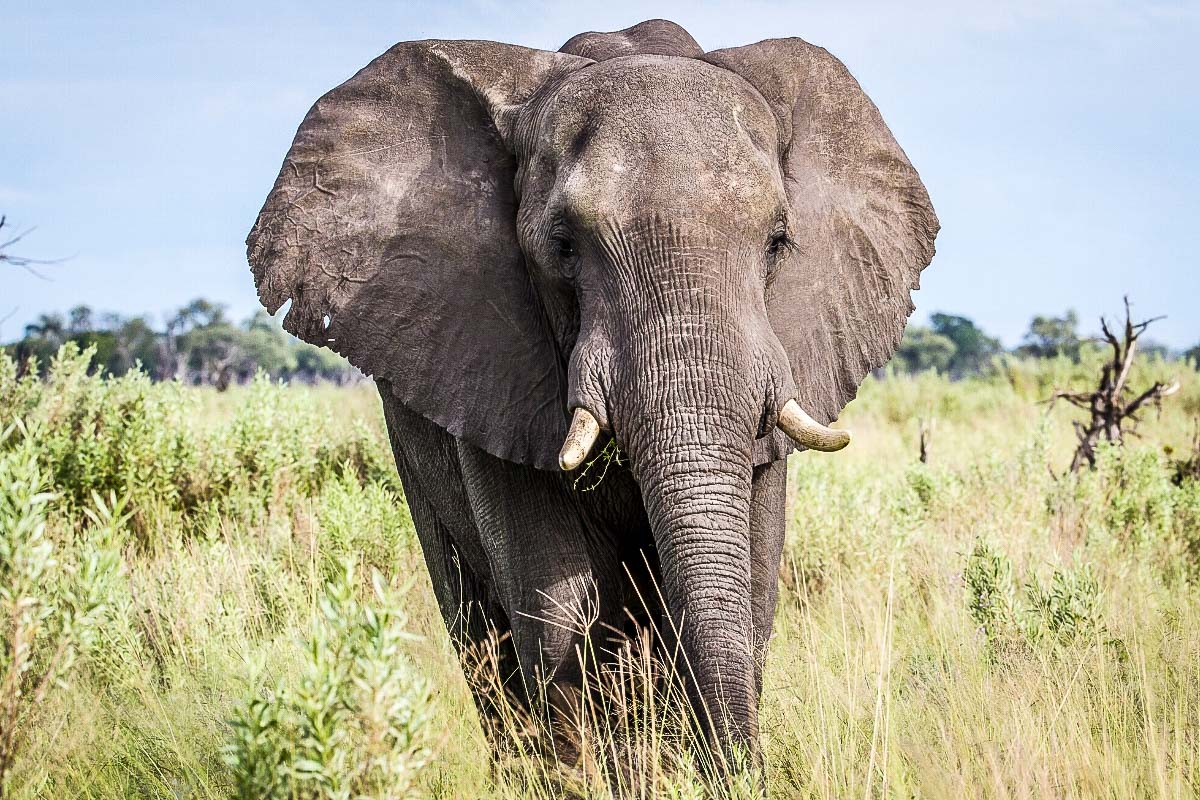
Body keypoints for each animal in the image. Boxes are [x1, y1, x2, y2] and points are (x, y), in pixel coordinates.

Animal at [246, 17, 936, 767]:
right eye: (564, 246)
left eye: (778, 242)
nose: (746, 771)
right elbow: (559, 611)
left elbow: (750, 584)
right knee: (476, 627)